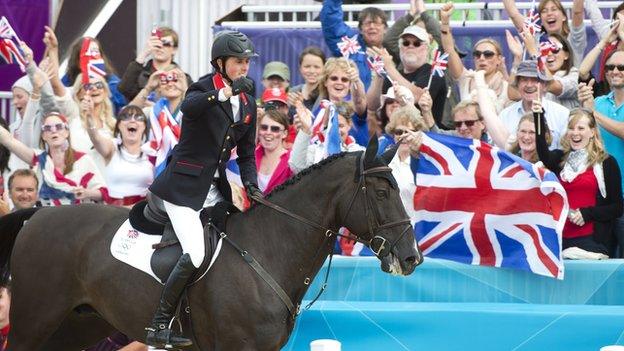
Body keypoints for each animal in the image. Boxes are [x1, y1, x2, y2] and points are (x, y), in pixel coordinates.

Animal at [0, 139, 422, 350]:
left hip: (76, 325)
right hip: (33, 322)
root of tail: (36, 216)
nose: (411, 257)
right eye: (382, 192)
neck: (267, 251)